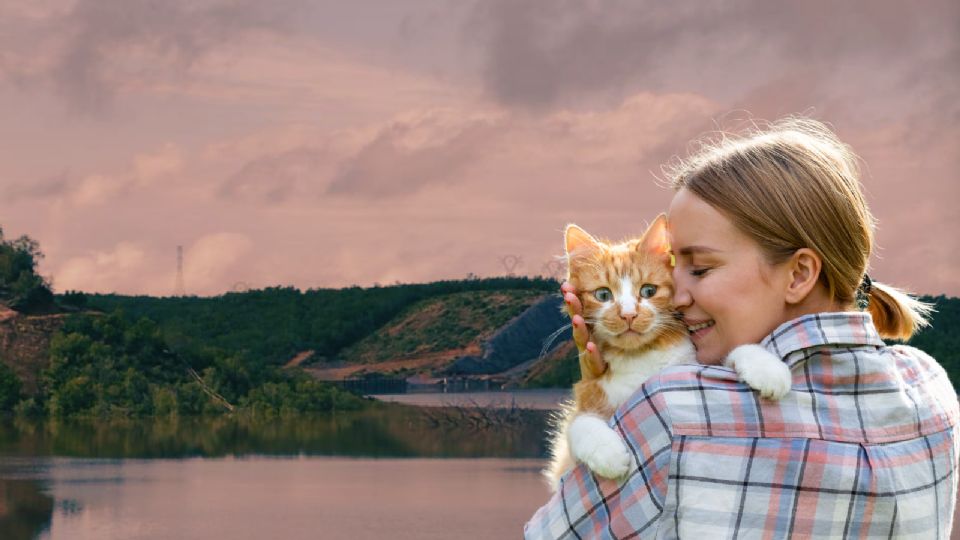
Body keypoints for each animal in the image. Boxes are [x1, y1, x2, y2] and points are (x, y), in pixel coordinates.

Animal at [544, 214, 792, 490]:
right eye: (603, 294)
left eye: (648, 291)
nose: (628, 314)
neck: (640, 358)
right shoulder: (585, 405)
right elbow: (578, 424)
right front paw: (609, 454)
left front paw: (767, 368)